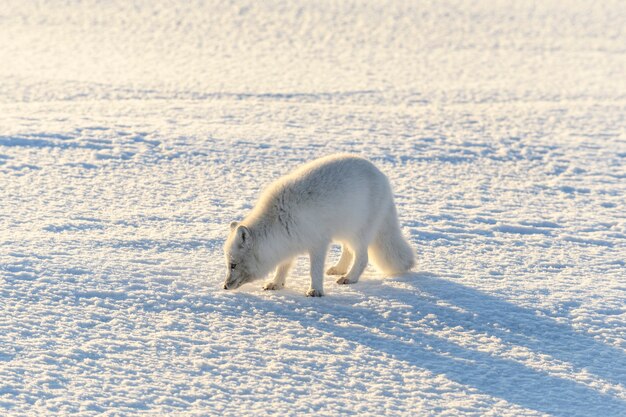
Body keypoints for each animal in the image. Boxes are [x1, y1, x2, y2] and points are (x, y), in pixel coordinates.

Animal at [222, 154, 412, 296]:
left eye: (233, 265)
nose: (224, 286)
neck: (279, 219)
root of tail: (382, 175)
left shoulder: (318, 243)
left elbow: (314, 270)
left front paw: (315, 290)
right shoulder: (288, 242)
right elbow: (283, 266)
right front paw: (276, 283)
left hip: (359, 233)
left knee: (362, 257)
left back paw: (349, 278)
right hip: (344, 232)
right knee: (348, 251)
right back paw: (339, 269)